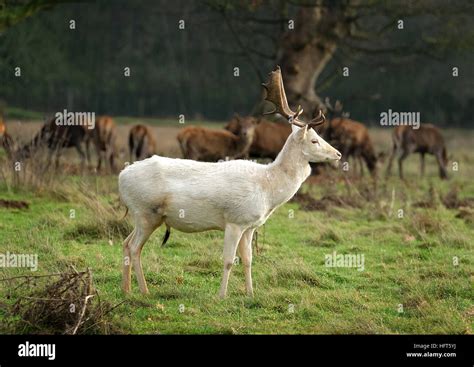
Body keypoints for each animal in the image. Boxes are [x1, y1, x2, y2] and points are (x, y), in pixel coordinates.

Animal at [118, 68, 340, 300]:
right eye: (314, 140)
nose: (338, 154)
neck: (267, 189)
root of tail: (121, 177)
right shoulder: (235, 220)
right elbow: (228, 261)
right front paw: (222, 296)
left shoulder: (250, 226)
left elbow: (248, 260)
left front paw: (251, 294)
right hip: (146, 212)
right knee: (134, 247)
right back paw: (144, 290)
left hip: (145, 216)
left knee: (125, 243)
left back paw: (126, 289)